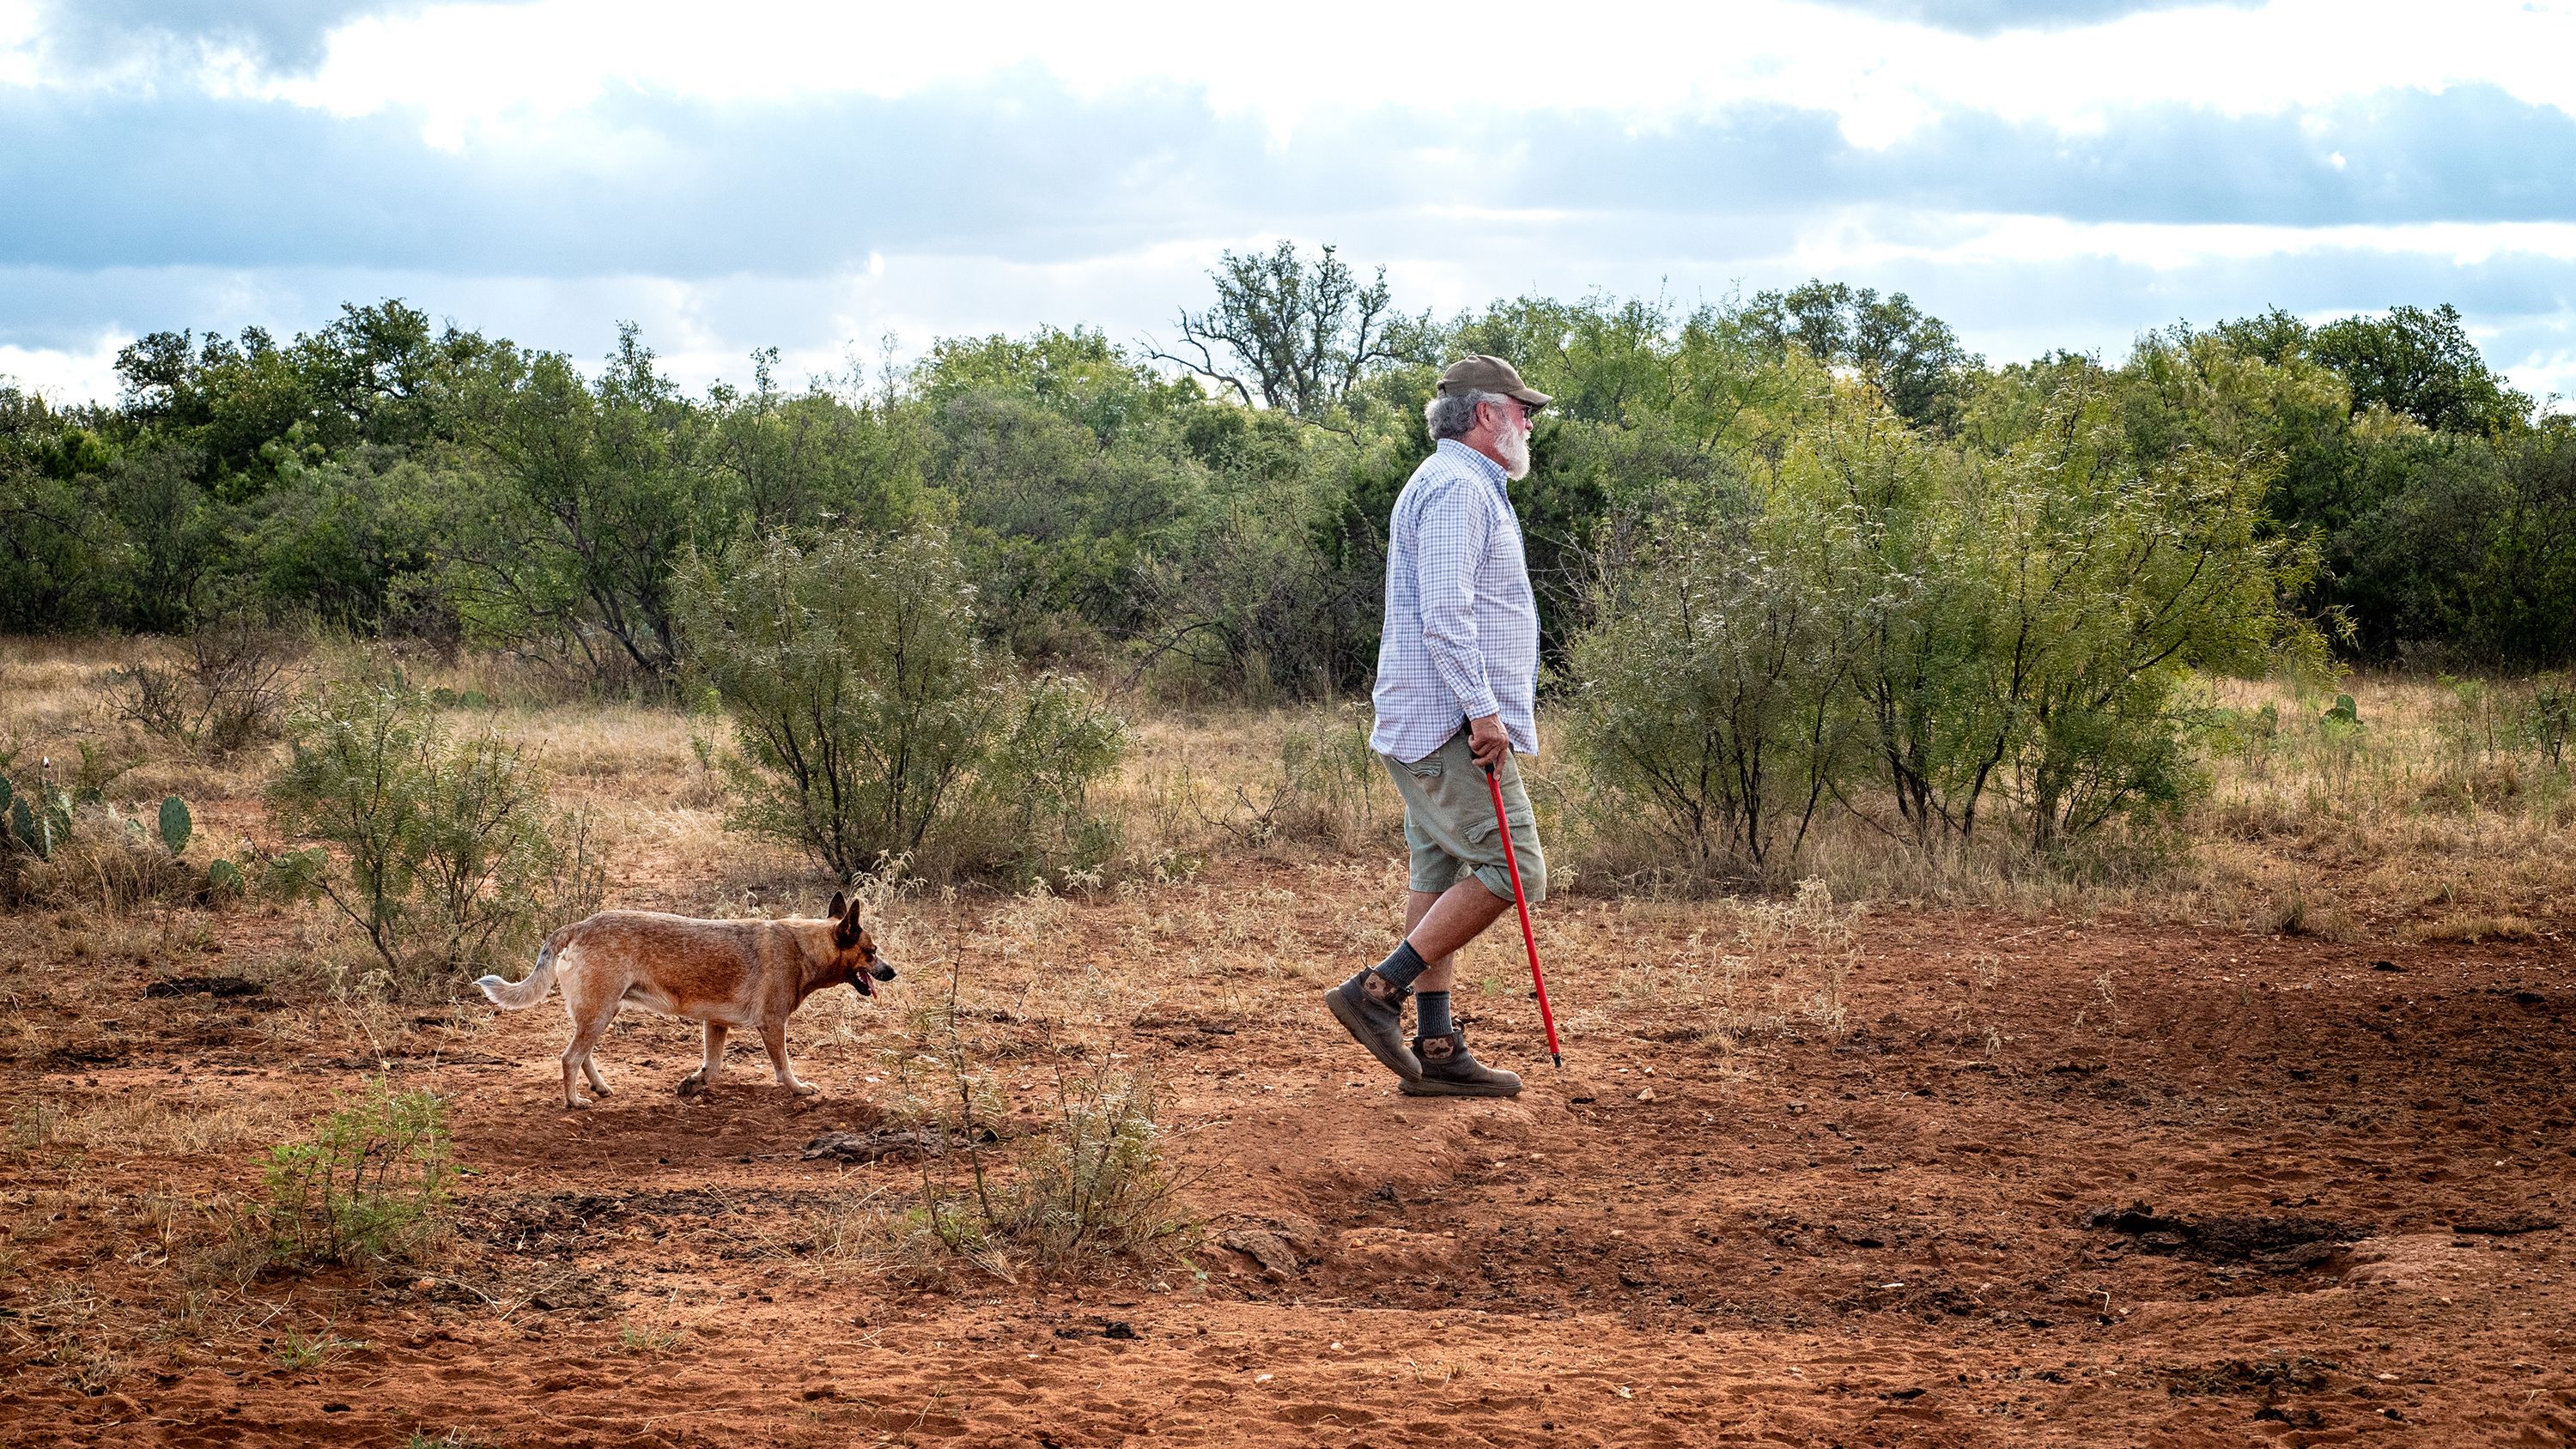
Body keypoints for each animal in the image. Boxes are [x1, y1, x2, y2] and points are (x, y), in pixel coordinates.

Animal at [477, 895, 896, 1112]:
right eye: (873, 951)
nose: (893, 972)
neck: (802, 949)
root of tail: (578, 925)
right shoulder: (773, 1025)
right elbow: (783, 1070)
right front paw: (798, 1089)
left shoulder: (716, 1024)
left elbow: (713, 1068)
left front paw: (692, 1084)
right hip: (600, 1013)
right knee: (569, 1058)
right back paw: (574, 1101)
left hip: (602, 1012)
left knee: (582, 1056)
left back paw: (600, 1088)